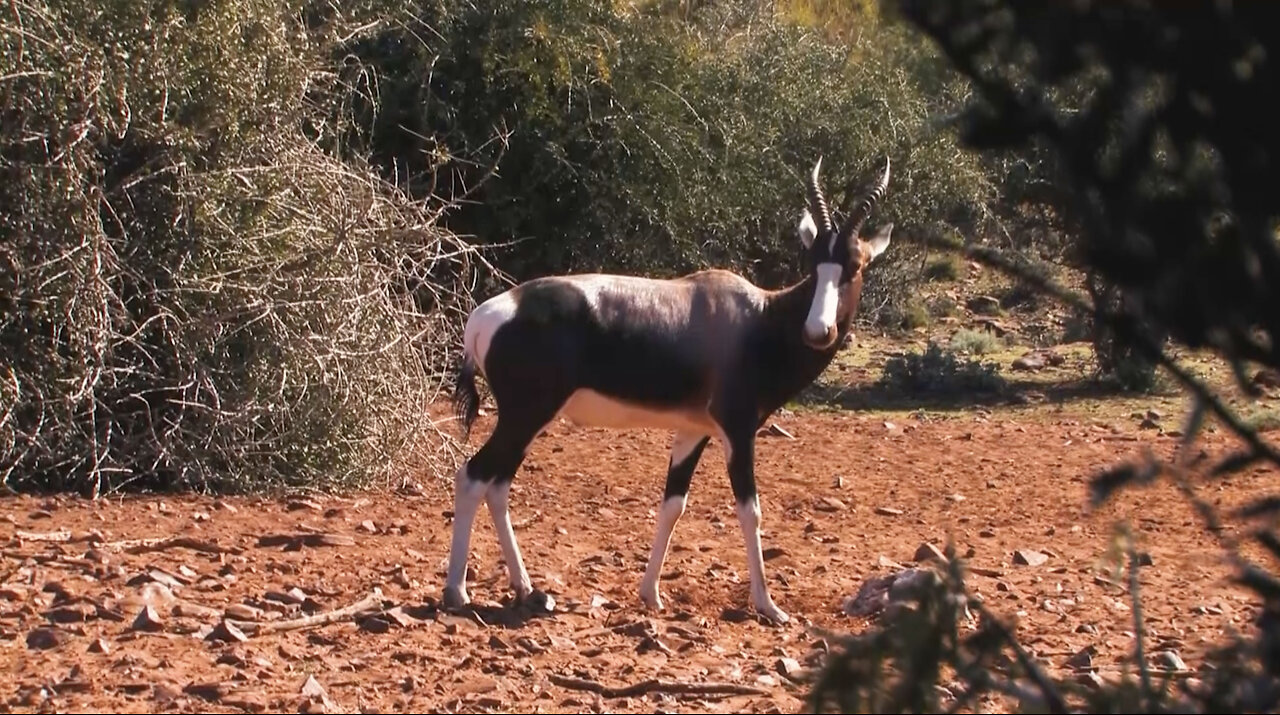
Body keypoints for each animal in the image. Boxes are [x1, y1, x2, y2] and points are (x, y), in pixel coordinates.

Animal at [448, 157, 890, 626]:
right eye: (813, 263)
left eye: (854, 264)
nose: (818, 332)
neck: (755, 317)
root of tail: (483, 317)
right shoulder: (738, 430)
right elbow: (749, 510)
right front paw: (769, 606)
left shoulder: (693, 432)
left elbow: (672, 505)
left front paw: (651, 594)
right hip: (525, 416)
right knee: (473, 476)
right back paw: (457, 591)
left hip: (526, 422)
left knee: (497, 485)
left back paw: (525, 587)